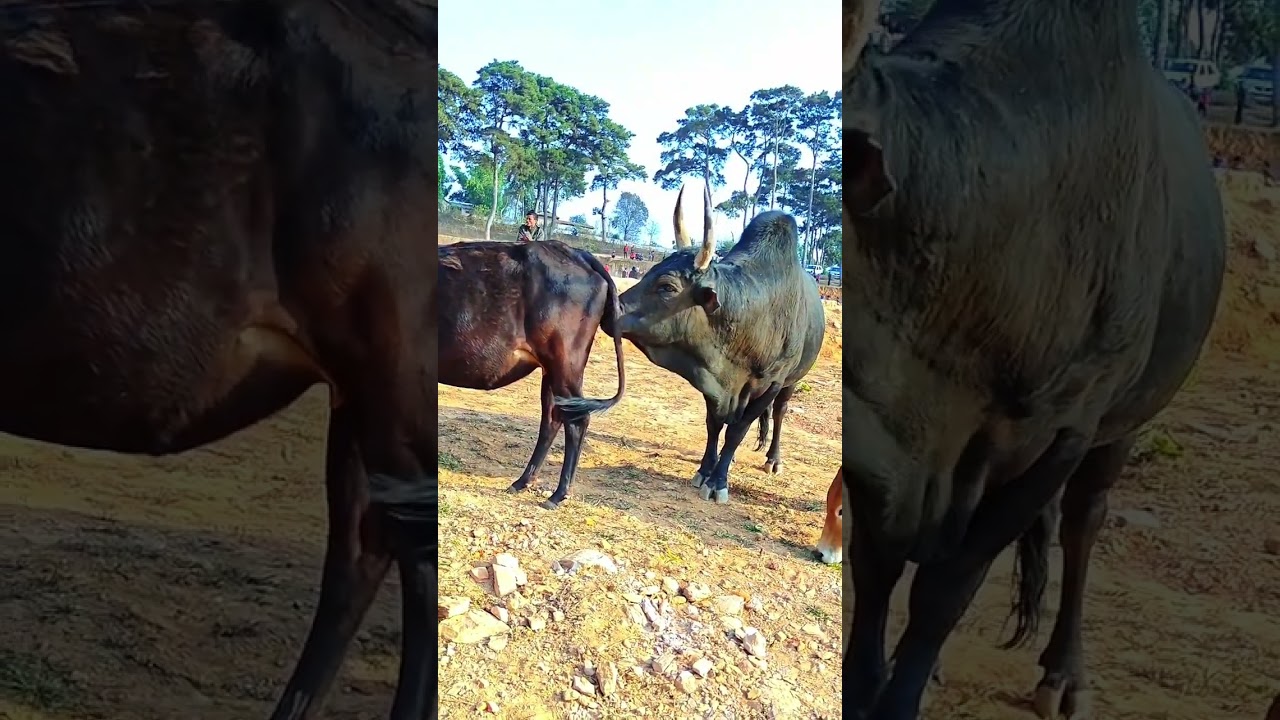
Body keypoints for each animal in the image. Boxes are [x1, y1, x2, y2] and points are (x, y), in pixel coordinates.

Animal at [439, 240, 626, 510]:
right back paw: (523, 481)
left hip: (564, 365)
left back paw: (558, 494)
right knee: (552, 419)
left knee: (576, 421)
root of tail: (576, 253)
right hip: (552, 372)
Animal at [611, 184, 825, 503]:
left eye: (667, 286)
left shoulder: (771, 384)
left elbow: (738, 430)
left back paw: (773, 459)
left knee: (780, 412)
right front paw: (704, 470)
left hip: (792, 381)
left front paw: (719, 481)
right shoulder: (712, 381)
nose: (611, 309)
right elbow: (714, 426)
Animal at [841, 1, 1226, 719]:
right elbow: (877, 572)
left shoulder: (1061, 436)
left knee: (1082, 523)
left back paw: (1063, 672)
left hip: (1122, 424)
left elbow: (944, 593)